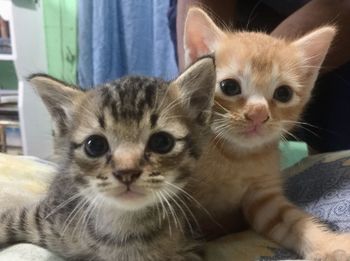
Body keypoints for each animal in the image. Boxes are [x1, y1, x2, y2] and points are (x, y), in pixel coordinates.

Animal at [0, 57, 216, 260]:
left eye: (162, 142)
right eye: (95, 145)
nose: (127, 172)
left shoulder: (191, 246)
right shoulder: (46, 214)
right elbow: (7, 219)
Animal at [183, 7, 350, 258]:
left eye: (283, 93)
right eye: (229, 87)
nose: (258, 114)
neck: (235, 158)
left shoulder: (264, 198)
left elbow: (294, 222)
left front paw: (330, 245)